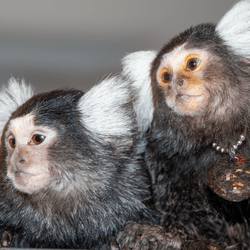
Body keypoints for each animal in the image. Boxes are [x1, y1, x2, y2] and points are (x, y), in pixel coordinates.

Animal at [117, 0, 250, 249]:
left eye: (192, 64)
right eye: (166, 77)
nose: (176, 84)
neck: (222, 138)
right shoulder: (163, 156)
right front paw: (167, 236)